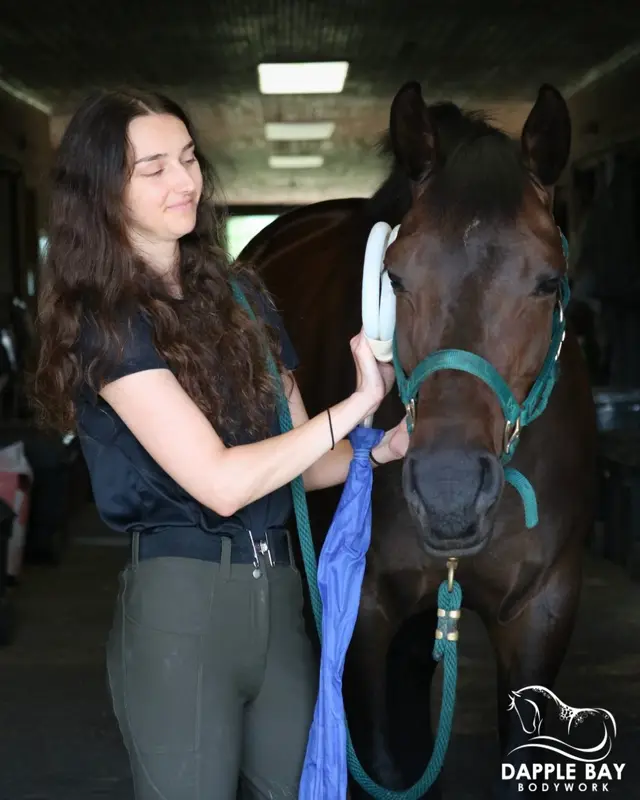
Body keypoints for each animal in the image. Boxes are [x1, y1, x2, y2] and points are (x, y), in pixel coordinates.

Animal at [239, 82, 597, 799]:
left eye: (548, 281)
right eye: (396, 278)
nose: (449, 492)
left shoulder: (543, 609)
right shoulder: (362, 612)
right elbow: (379, 760)